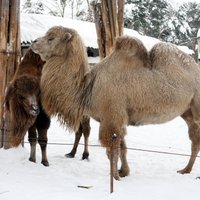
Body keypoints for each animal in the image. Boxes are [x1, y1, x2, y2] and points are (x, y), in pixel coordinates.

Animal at [31, 25, 200, 180]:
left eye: (51, 38)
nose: (33, 42)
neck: (88, 88)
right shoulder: (118, 118)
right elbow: (122, 147)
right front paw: (123, 172)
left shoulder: (112, 116)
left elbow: (112, 150)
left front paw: (115, 177)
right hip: (187, 112)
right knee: (195, 139)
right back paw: (185, 170)